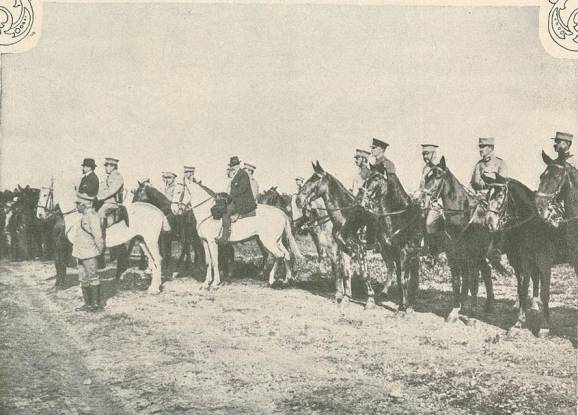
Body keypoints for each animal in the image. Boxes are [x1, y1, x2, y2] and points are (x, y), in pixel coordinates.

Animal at [35, 180, 165, 294]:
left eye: (45, 195)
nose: (39, 214)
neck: (78, 215)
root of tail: (158, 211)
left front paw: (81, 290)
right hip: (142, 241)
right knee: (152, 261)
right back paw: (152, 286)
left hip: (151, 241)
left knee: (157, 259)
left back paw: (155, 289)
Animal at [169, 179, 302, 290]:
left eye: (179, 191)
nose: (173, 210)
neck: (209, 212)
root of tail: (282, 213)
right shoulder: (205, 242)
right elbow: (208, 262)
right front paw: (206, 283)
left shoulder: (212, 242)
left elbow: (215, 261)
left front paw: (215, 283)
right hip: (276, 240)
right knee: (286, 255)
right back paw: (286, 279)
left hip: (268, 241)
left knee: (279, 256)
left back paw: (271, 280)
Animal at [340, 164, 420, 314]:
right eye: (368, 176)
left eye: (377, 177)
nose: (360, 195)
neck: (402, 217)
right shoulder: (396, 252)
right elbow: (400, 279)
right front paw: (402, 306)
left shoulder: (404, 253)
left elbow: (404, 280)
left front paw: (402, 309)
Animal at [418, 158, 496, 324]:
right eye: (427, 177)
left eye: (438, 176)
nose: (421, 200)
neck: (462, 218)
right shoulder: (453, 255)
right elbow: (456, 282)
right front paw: (455, 311)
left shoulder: (473, 257)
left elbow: (473, 284)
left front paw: (472, 316)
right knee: (486, 271)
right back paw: (487, 305)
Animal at [482, 173, 564, 338]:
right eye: (487, 196)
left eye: (500, 195)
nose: (489, 224)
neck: (531, 228)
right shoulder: (521, 266)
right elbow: (522, 291)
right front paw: (519, 323)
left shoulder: (544, 266)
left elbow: (544, 294)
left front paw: (545, 327)